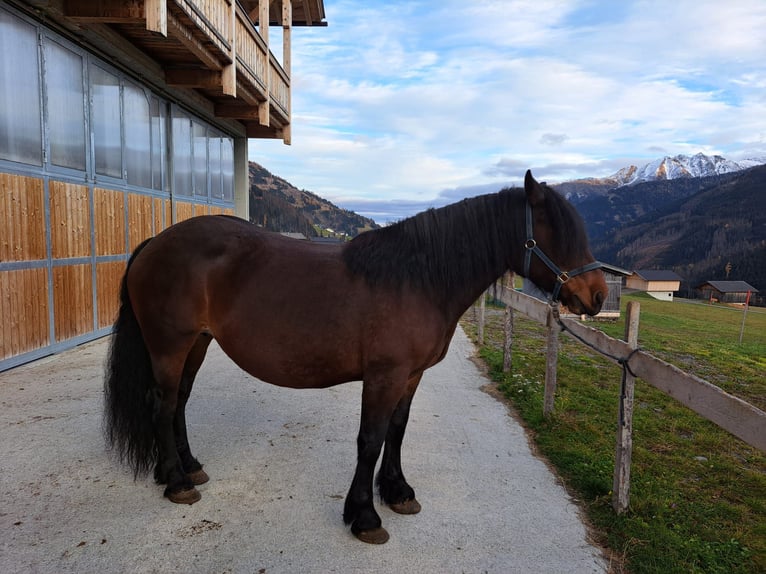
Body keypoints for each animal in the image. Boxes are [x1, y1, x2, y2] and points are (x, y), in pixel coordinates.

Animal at [103, 170, 608, 544]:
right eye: (555, 234)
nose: (598, 296)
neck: (416, 278)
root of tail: (153, 244)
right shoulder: (384, 376)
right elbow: (371, 439)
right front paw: (364, 515)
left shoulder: (410, 376)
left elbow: (397, 431)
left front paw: (397, 492)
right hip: (170, 344)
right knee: (163, 405)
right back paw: (176, 482)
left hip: (197, 343)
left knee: (179, 403)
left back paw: (187, 467)